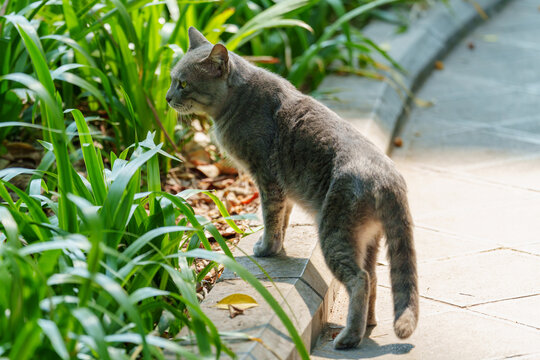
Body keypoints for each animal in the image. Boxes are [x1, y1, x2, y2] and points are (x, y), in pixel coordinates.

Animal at [167, 28, 420, 348]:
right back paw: (368, 325)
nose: (167, 97)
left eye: (183, 83)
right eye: (172, 79)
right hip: (369, 240)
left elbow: (270, 218)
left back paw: (349, 338)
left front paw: (266, 248)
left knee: (359, 279)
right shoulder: (283, 188)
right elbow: (282, 220)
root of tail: (390, 179)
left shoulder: (266, 178)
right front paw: (277, 248)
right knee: (374, 277)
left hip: (334, 234)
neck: (238, 101)